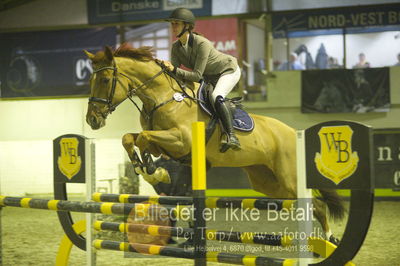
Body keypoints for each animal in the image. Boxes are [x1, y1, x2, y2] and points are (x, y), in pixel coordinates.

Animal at [83, 44, 344, 244]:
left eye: (105, 80)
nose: (92, 120)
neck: (162, 98)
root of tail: (292, 132)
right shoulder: (165, 142)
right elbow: (131, 138)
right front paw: (147, 168)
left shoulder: (181, 140)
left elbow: (145, 138)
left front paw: (153, 171)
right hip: (268, 182)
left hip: (290, 177)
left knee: (317, 205)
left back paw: (329, 239)